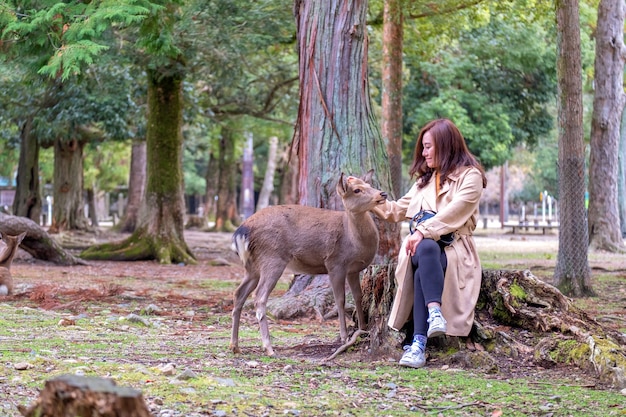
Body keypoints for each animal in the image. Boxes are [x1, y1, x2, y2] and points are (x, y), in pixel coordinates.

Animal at [229, 169, 386, 354]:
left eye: (369, 184)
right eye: (356, 190)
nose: (382, 194)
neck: (354, 242)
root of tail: (242, 230)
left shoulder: (353, 269)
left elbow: (358, 296)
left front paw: (362, 328)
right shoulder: (335, 263)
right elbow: (340, 299)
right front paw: (344, 336)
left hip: (252, 267)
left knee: (238, 293)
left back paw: (234, 345)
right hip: (272, 258)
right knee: (259, 297)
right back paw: (268, 347)